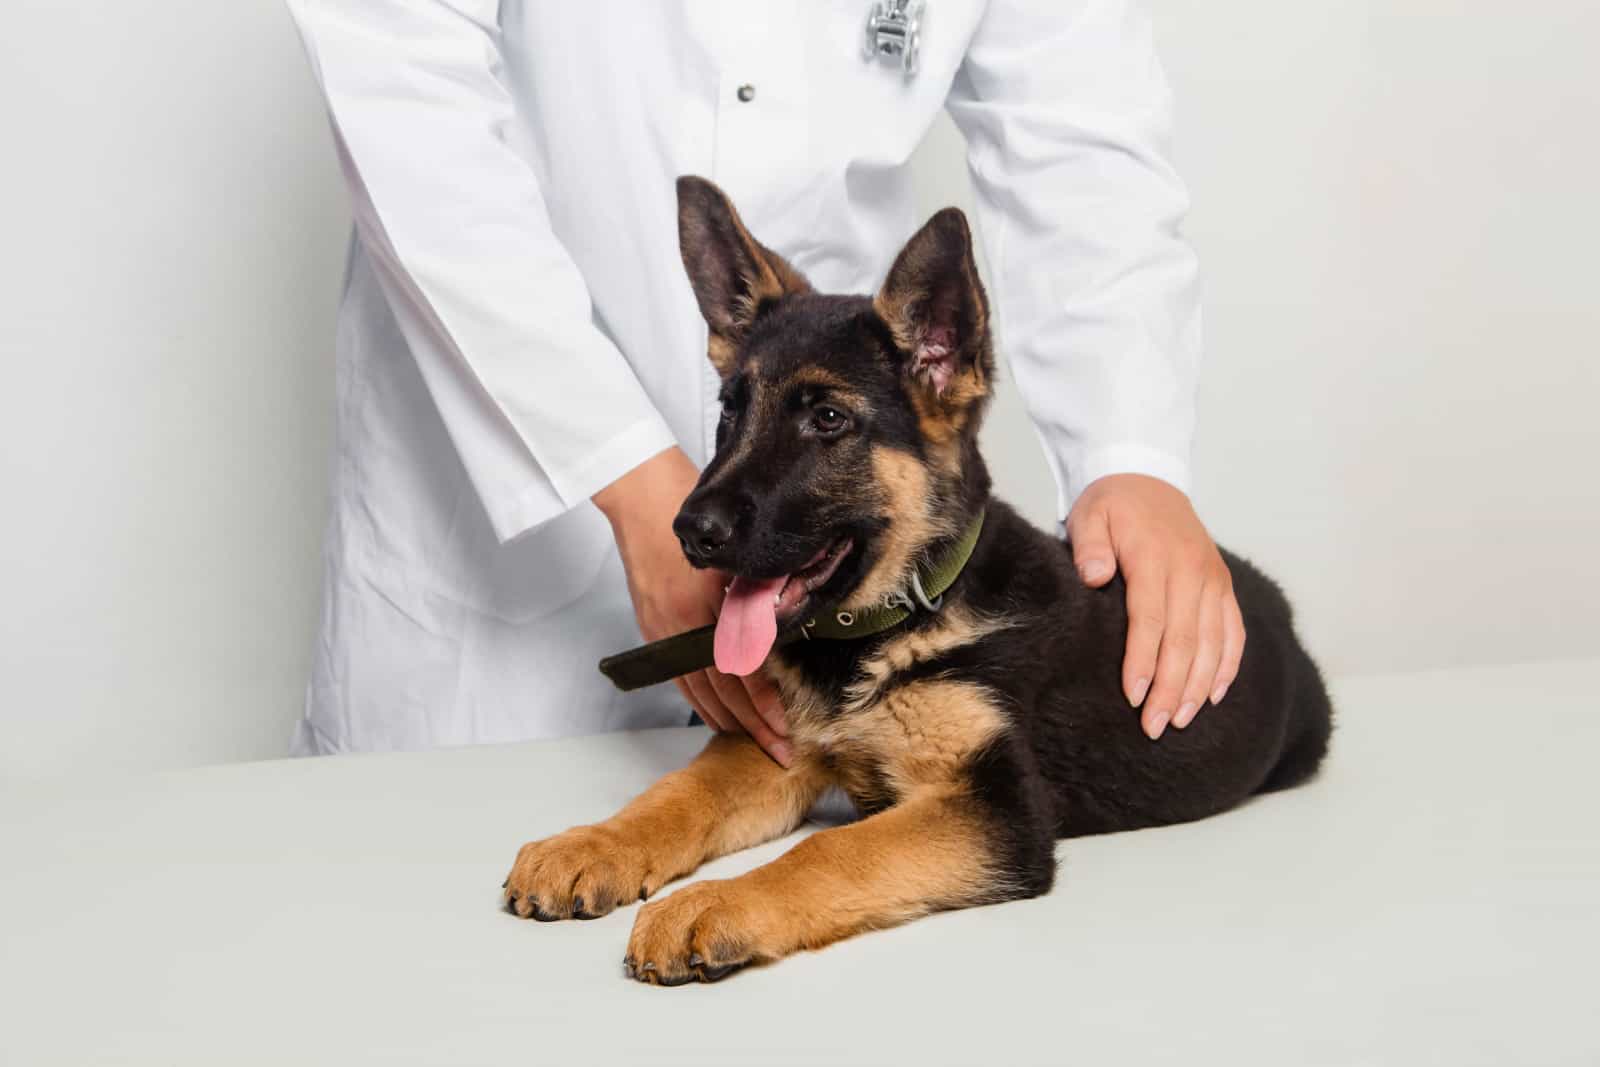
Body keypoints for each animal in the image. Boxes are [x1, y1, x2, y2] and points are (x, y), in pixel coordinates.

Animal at [505, 179, 1331, 991]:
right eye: (731, 412)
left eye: (828, 418)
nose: (688, 529)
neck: (888, 622)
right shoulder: (778, 748)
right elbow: (679, 792)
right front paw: (593, 843)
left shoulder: (996, 809)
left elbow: (832, 849)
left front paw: (712, 902)